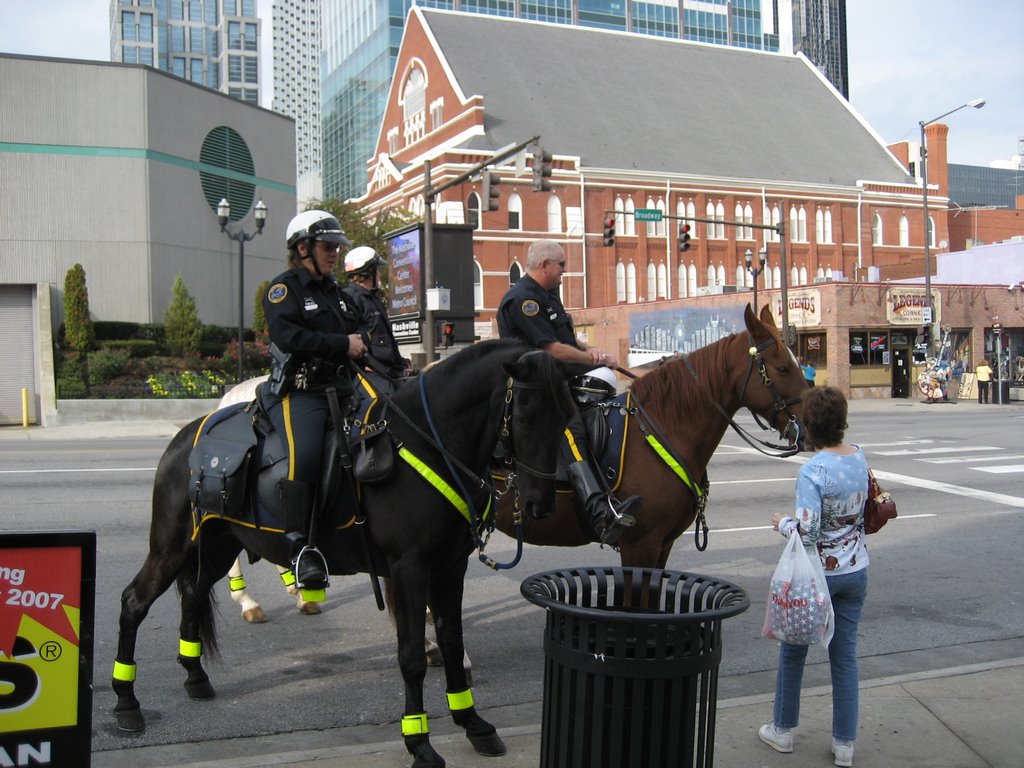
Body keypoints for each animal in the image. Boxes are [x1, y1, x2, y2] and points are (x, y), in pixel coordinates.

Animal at [113, 342, 581, 768]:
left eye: (566, 416)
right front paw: (420, 744)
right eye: (524, 415)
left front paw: (474, 724)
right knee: (135, 601)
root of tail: (184, 436)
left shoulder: (450, 569)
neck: (429, 445)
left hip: (216, 545)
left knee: (192, 593)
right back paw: (126, 703)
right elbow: (411, 657)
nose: (541, 504)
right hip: (171, 546)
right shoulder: (409, 569)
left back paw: (195, 676)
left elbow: (452, 642)